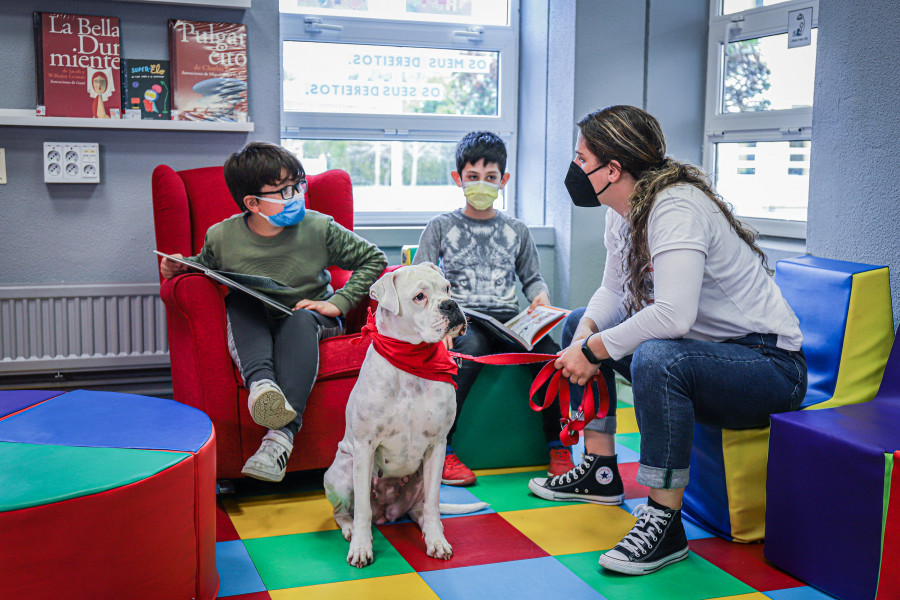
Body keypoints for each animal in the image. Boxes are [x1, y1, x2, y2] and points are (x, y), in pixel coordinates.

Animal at [326, 264, 486, 568]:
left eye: (447, 288)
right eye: (419, 296)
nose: (451, 305)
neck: (411, 358)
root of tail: (388, 514)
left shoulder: (437, 445)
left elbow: (433, 503)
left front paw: (436, 541)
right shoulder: (364, 447)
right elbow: (362, 508)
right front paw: (361, 547)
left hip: (420, 479)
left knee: (421, 508)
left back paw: (433, 531)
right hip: (342, 472)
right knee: (345, 512)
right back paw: (351, 530)